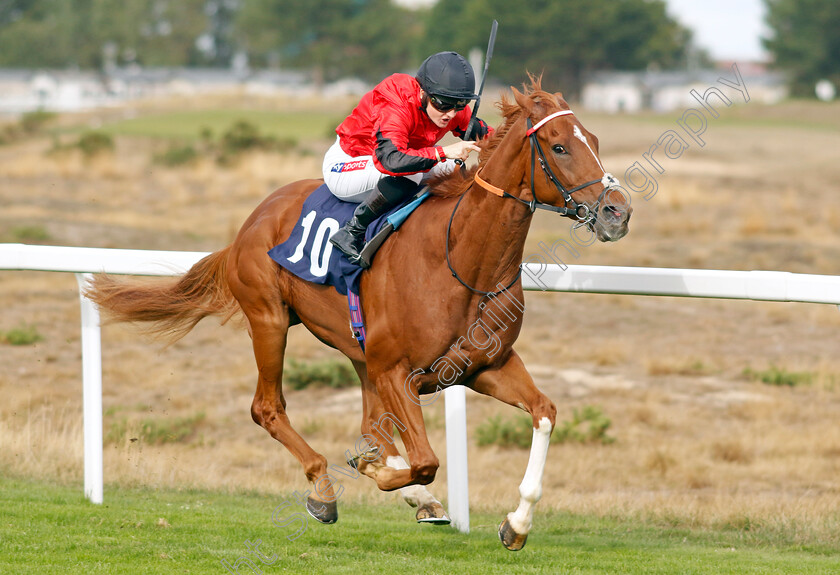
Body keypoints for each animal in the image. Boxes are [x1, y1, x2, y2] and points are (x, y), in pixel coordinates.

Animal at [83, 79, 632, 552]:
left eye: (594, 140)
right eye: (559, 147)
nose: (617, 213)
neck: (461, 259)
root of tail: (252, 221)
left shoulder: (483, 366)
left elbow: (544, 413)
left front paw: (515, 524)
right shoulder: (397, 372)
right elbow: (425, 460)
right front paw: (380, 474)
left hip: (356, 348)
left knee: (370, 422)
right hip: (270, 319)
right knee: (268, 408)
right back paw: (324, 489)